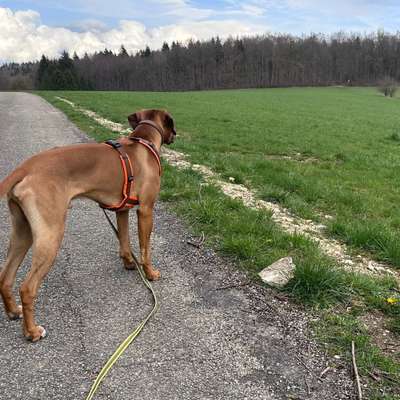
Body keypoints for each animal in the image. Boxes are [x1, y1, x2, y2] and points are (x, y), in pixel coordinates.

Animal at [0, 108, 175, 340]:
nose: (176, 135)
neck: (143, 140)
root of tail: (25, 168)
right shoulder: (146, 211)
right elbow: (145, 249)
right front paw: (150, 273)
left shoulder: (122, 210)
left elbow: (124, 241)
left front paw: (129, 263)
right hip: (51, 236)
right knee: (27, 288)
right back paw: (32, 331)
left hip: (22, 233)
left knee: (5, 277)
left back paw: (13, 311)